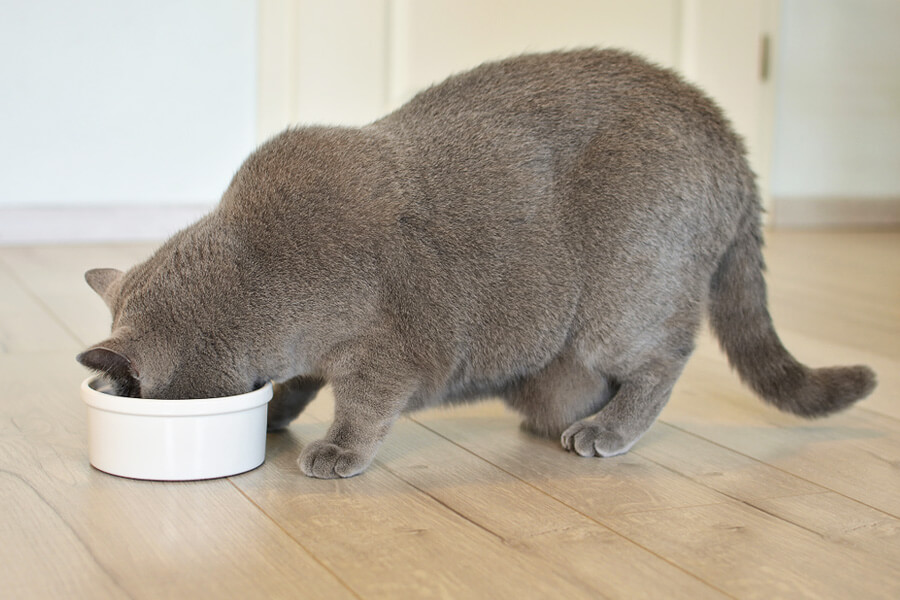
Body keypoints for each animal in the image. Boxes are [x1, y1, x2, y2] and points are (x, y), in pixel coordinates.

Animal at [74, 50, 876, 478]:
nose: (109, 387)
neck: (260, 271)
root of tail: (722, 128)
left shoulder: (385, 352)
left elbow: (362, 405)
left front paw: (334, 454)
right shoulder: (304, 356)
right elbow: (298, 382)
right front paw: (276, 417)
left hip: (624, 299)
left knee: (664, 357)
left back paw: (607, 431)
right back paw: (568, 421)